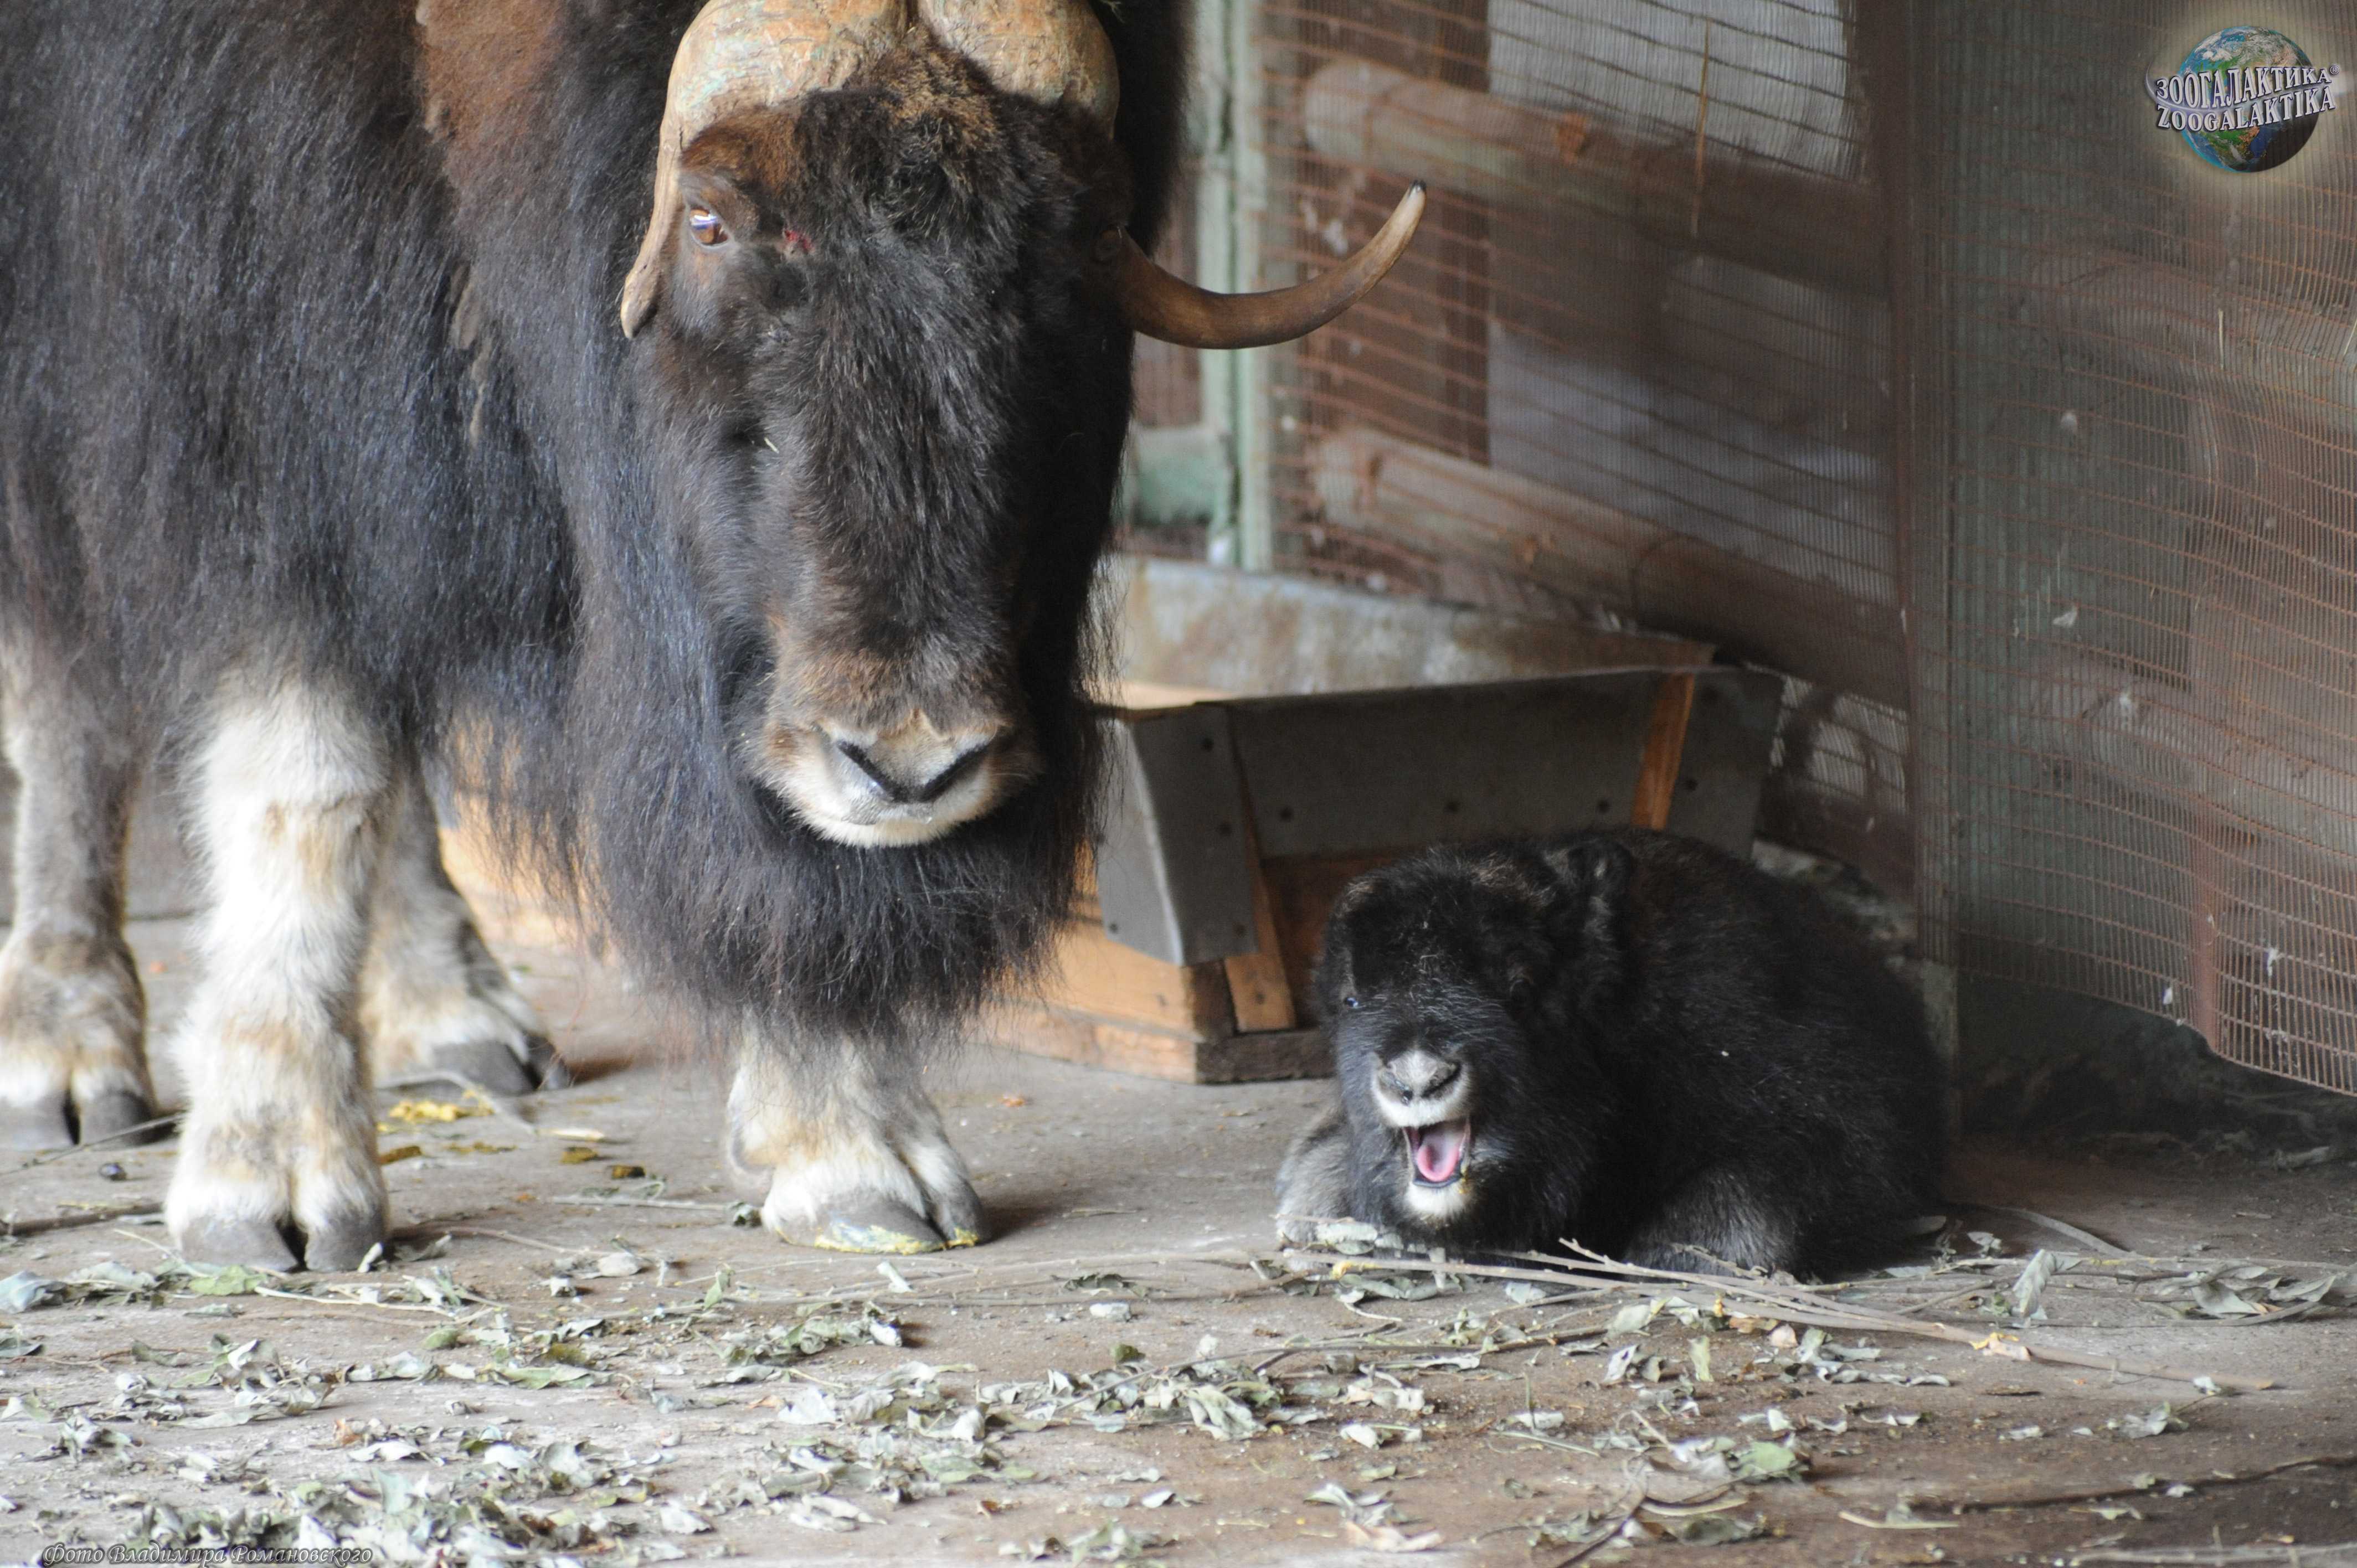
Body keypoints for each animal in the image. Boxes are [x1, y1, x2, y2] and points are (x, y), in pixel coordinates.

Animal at [0, 0, 1414, 1263]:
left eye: (1073, 241)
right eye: (712, 219)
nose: (914, 761)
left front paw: (850, 1151)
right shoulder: (261, 416)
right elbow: (303, 769)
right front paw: (273, 1185)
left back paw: (452, 1015)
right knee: (70, 686)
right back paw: (69, 1055)